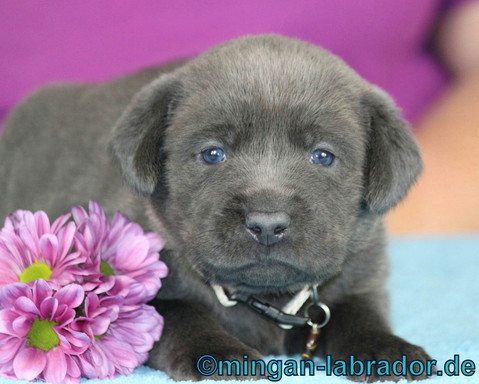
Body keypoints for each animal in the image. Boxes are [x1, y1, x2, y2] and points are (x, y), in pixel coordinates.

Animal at [0, 35, 434, 380]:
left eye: (323, 156)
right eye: (213, 153)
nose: (267, 224)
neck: (263, 297)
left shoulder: (361, 278)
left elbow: (360, 316)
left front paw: (387, 349)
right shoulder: (131, 294)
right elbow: (182, 316)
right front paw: (221, 356)